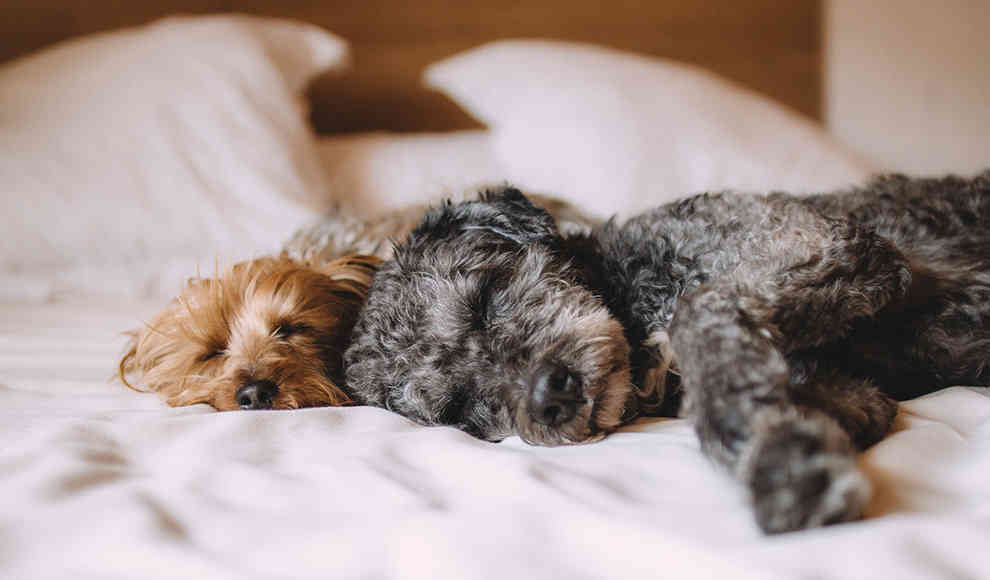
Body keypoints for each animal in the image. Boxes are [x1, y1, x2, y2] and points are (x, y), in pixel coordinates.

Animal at [342, 173, 990, 536]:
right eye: (462, 409)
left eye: (483, 300)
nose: (550, 396)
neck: (634, 290)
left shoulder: (827, 241)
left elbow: (696, 313)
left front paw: (778, 463)